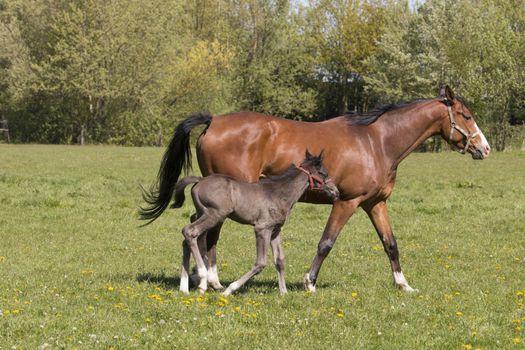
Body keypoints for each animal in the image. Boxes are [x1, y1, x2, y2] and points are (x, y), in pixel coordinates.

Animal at [172, 151, 338, 296]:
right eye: (323, 173)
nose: (336, 192)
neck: (279, 193)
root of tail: (199, 180)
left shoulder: (275, 230)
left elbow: (280, 260)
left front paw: (284, 292)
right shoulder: (262, 229)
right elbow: (260, 263)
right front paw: (229, 290)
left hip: (203, 214)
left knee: (187, 240)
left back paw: (184, 288)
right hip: (214, 215)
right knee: (190, 232)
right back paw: (202, 279)